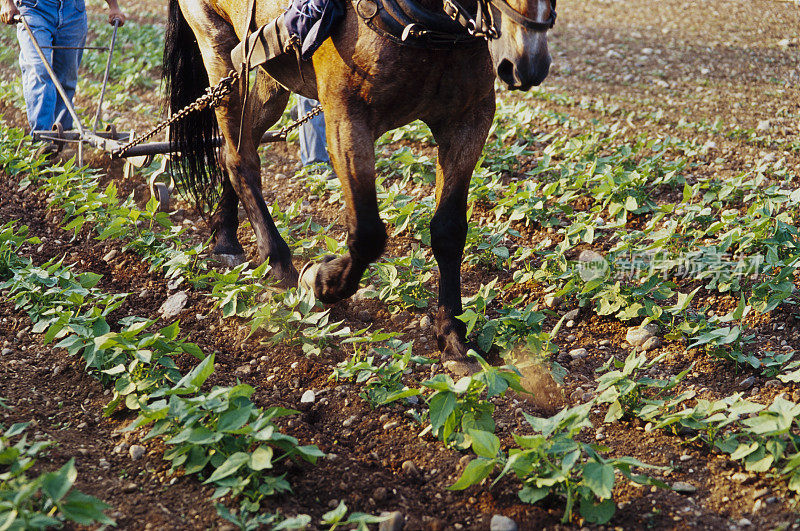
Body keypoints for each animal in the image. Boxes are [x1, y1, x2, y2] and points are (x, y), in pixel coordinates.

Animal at [166, 0, 552, 372]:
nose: (527, 63)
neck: (431, 28)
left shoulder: (469, 120)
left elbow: (449, 231)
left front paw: (452, 336)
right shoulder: (346, 121)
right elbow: (368, 235)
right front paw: (319, 280)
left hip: (265, 70)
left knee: (236, 148)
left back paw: (226, 235)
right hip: (220, 52)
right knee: (239, 158)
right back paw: (279, 263)